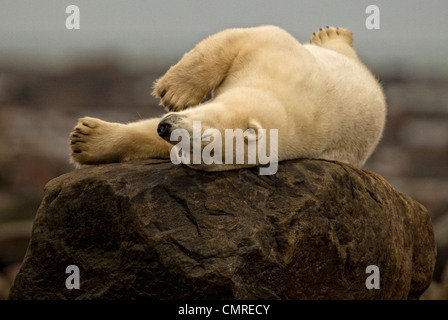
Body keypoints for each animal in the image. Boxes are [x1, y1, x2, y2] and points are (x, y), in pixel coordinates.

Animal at [70, 26, 384, 174]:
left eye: (198, 148)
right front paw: (175, 92)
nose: (166, 128)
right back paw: (332, 34)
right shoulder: (282, 63)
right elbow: (240, 40)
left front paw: (85, 141)